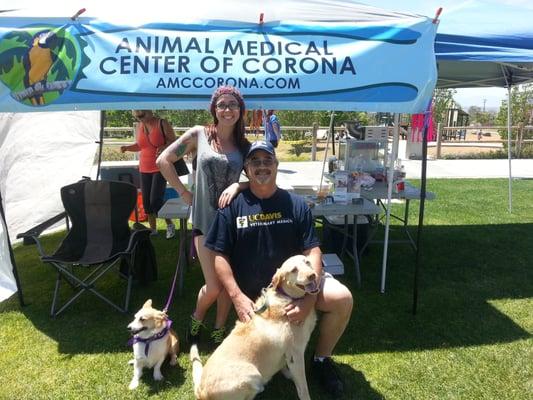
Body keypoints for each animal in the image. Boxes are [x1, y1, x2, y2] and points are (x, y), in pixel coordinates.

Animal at [190, 256, 318, 400]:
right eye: (293, 270)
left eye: (307, 262)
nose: (312, 275)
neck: (287, 297)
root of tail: (201, 391)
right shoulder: (296, 355)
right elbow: (303, 389)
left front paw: (287, 373)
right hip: (253, 375)